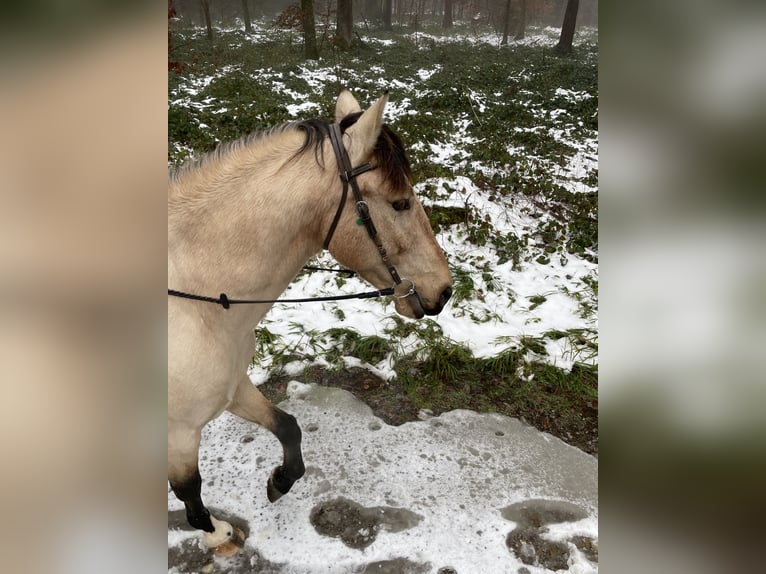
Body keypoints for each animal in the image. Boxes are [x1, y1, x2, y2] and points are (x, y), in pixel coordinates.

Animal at [168, 90, 453, 555]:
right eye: (400, 203)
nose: (444, 291)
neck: (201, 302)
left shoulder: (233, 387)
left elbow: (288, 427)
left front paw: (280, 481)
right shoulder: (180, 429)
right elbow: (190, 495)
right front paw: (219, 535)